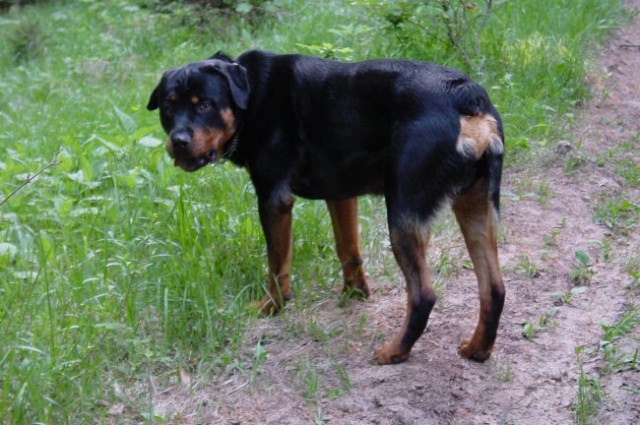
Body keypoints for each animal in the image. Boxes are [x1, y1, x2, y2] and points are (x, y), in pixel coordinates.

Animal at [146, 48, 504, 362]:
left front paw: (270, 307)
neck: (249, 96)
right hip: (474, 207)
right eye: (168, 107)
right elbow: (347, 249)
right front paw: (355, 294)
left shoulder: (273, 198)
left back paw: (395, 352)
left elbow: (277, 265)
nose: (179, 141)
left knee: (423, 296)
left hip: (403, 212)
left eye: (205, 104)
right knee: (494, 288)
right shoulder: (341, 194)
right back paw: (478, 348)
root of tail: (467, 96)